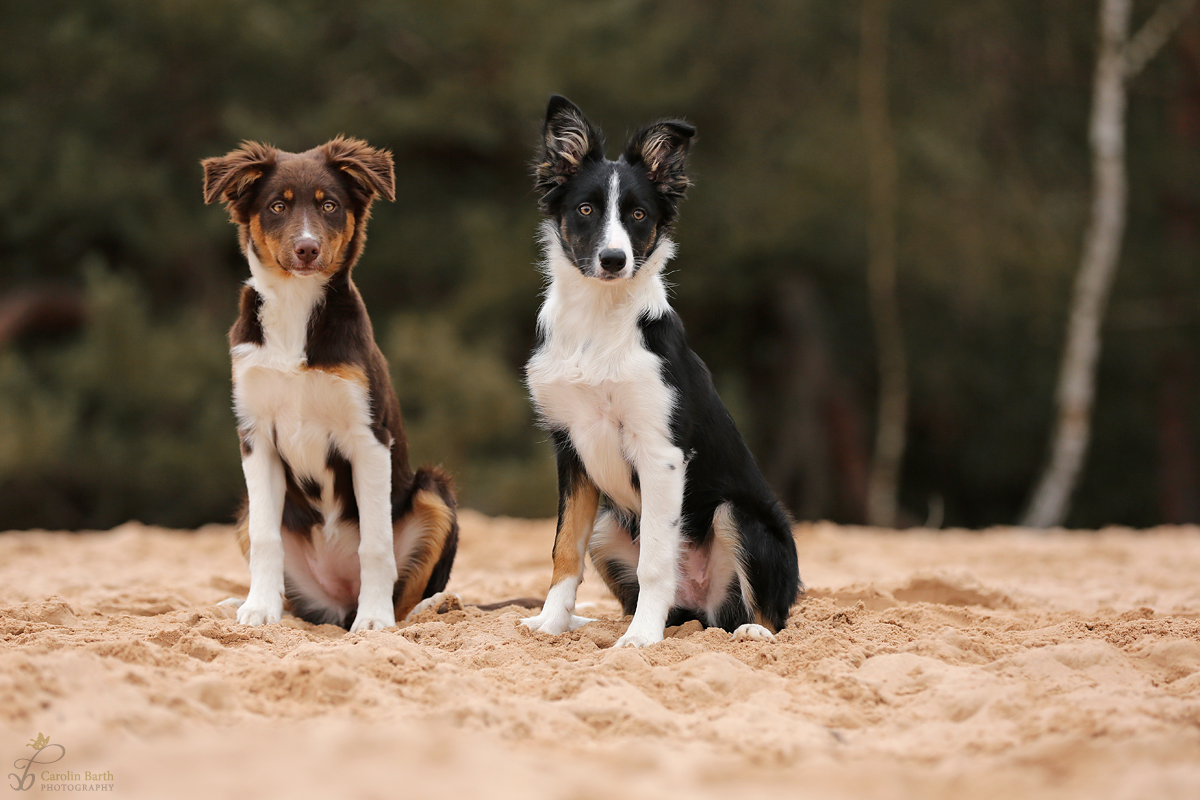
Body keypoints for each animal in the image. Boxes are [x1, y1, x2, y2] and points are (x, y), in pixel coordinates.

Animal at [204, 137, 456, 628]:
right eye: (278, 206)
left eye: (330, 206)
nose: (307, 248)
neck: (295, 307)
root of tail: (340, 603)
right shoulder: (256, 436)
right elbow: (266, 539)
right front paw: (258, 609)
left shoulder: (368, 436)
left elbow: (375, 545)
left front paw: (374, 621)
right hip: (248, 514)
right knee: (298, 600)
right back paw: (237, 604)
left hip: (434, 491)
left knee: (407, 593)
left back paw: (433, 607)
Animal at [520, 98, 801, 652]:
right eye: (585, 210)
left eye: (638, 215)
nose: (613, 260)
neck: (599, 321)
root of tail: (703, 612)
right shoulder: (570, 447)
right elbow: (564, 551)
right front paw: (551, 624)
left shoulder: (661, 452)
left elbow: (655, 560)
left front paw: (640, 640)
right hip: (609, 523)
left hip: (738, 514)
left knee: (769, 612)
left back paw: (751, 629)